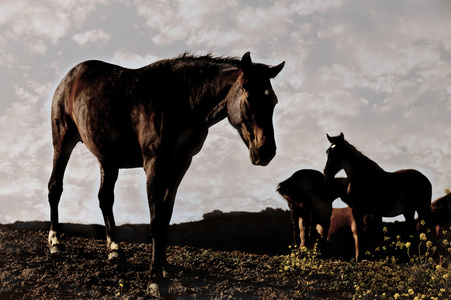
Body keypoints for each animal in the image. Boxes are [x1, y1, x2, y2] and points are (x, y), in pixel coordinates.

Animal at [47, 52, 284, 290]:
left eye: (273, 101)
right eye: (248, 96)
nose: (266, 151)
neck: (179, 100)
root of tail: (71, 76)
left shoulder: (180, 164)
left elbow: (165, 216)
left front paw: (164, 266)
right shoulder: (154, 163)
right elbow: (155, 221)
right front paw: (154, 278)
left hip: (107, 159)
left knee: (105, 198)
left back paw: (115, 250)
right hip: (63, 141)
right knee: (55, 188)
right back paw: (55, 243)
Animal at [324, 132, 432, 260]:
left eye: (337, 151)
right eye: (327, 151)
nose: (326, 172)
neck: (363, 178)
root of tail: (425, 179)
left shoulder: (372, 212)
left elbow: (372, 234)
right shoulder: (359, 211)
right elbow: (360, 233)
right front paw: (360, 258)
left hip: (422, 209)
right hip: (408, 212)